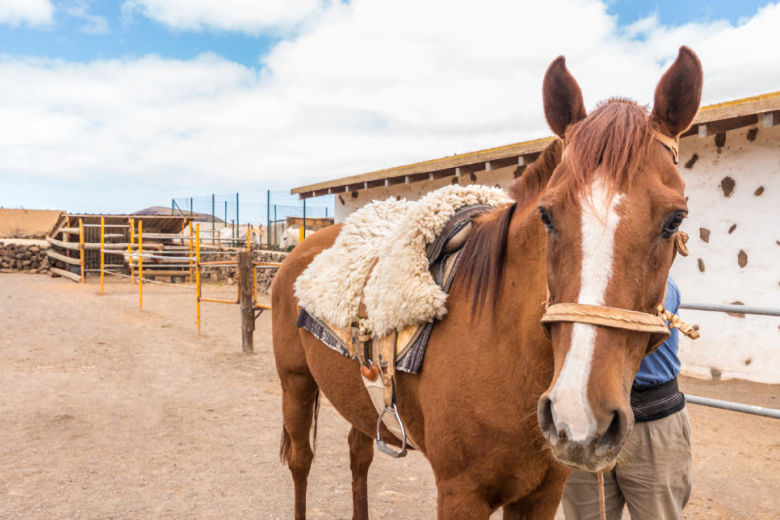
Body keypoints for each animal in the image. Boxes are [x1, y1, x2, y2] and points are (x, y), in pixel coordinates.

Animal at [272, 46, 704, 516]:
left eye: (675, 219)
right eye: (547, 215)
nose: (579, 417)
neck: (506, 344)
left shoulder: (543, 494)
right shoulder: (460, 494)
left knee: (359, 453)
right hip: (295, 383)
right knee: (300, 461)